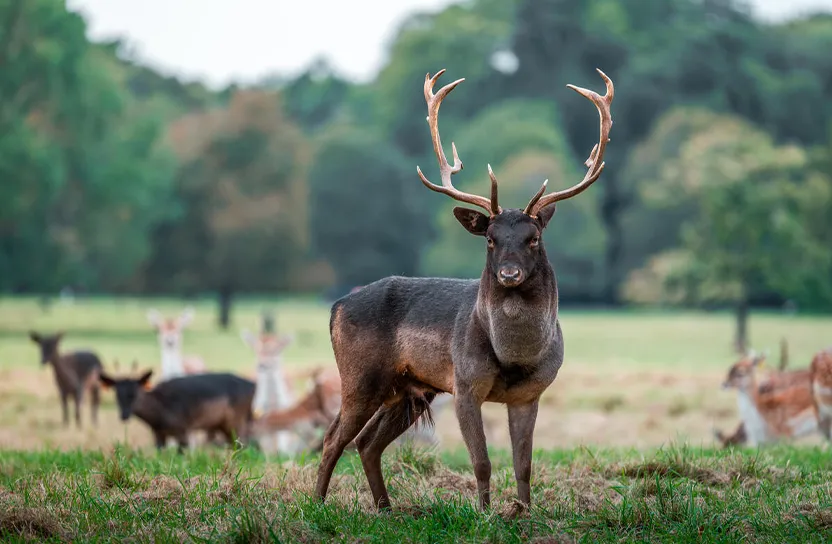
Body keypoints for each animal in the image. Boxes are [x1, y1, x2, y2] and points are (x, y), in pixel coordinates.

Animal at [314, 68, 614, 512]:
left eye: (534, 238)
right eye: (490, 238)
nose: (508, 274)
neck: (514, 356)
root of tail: (336, 306)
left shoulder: (530, 394)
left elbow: (524, 465)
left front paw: (524, 513)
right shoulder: (465, 384)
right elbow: (483, 462)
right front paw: (485, 514)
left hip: (408, 389)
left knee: (367, 443)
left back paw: (386, 509)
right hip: (360, 376)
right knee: (334, 439)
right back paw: (317, 504)